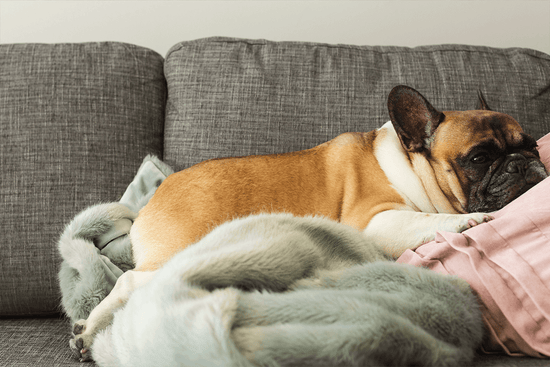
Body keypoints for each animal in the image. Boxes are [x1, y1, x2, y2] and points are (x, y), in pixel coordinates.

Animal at [71, 85, 548, 362]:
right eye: (479, 158)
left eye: (531, 146)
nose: (524, 163)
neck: (411, 165)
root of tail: (154, 199)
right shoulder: (374, 221)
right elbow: (431, 219)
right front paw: (471, 219)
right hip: (178, 251)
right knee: (130, 284)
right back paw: (89, 332)